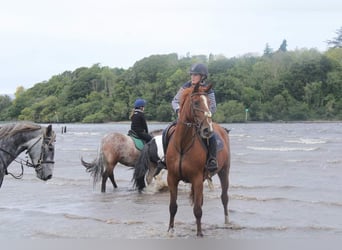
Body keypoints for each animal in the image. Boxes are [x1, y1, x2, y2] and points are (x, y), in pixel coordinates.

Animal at [165, 83, 230, 236]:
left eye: (209, 103)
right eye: (195, 103)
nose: (207, 130)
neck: (183, 145)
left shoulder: (196, 179)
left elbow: (197, 209)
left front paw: (199, 233)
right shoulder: (172, 178)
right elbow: (173, 206)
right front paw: (170, 230)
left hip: (224, 172)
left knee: (224, 198)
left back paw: (227, 221)